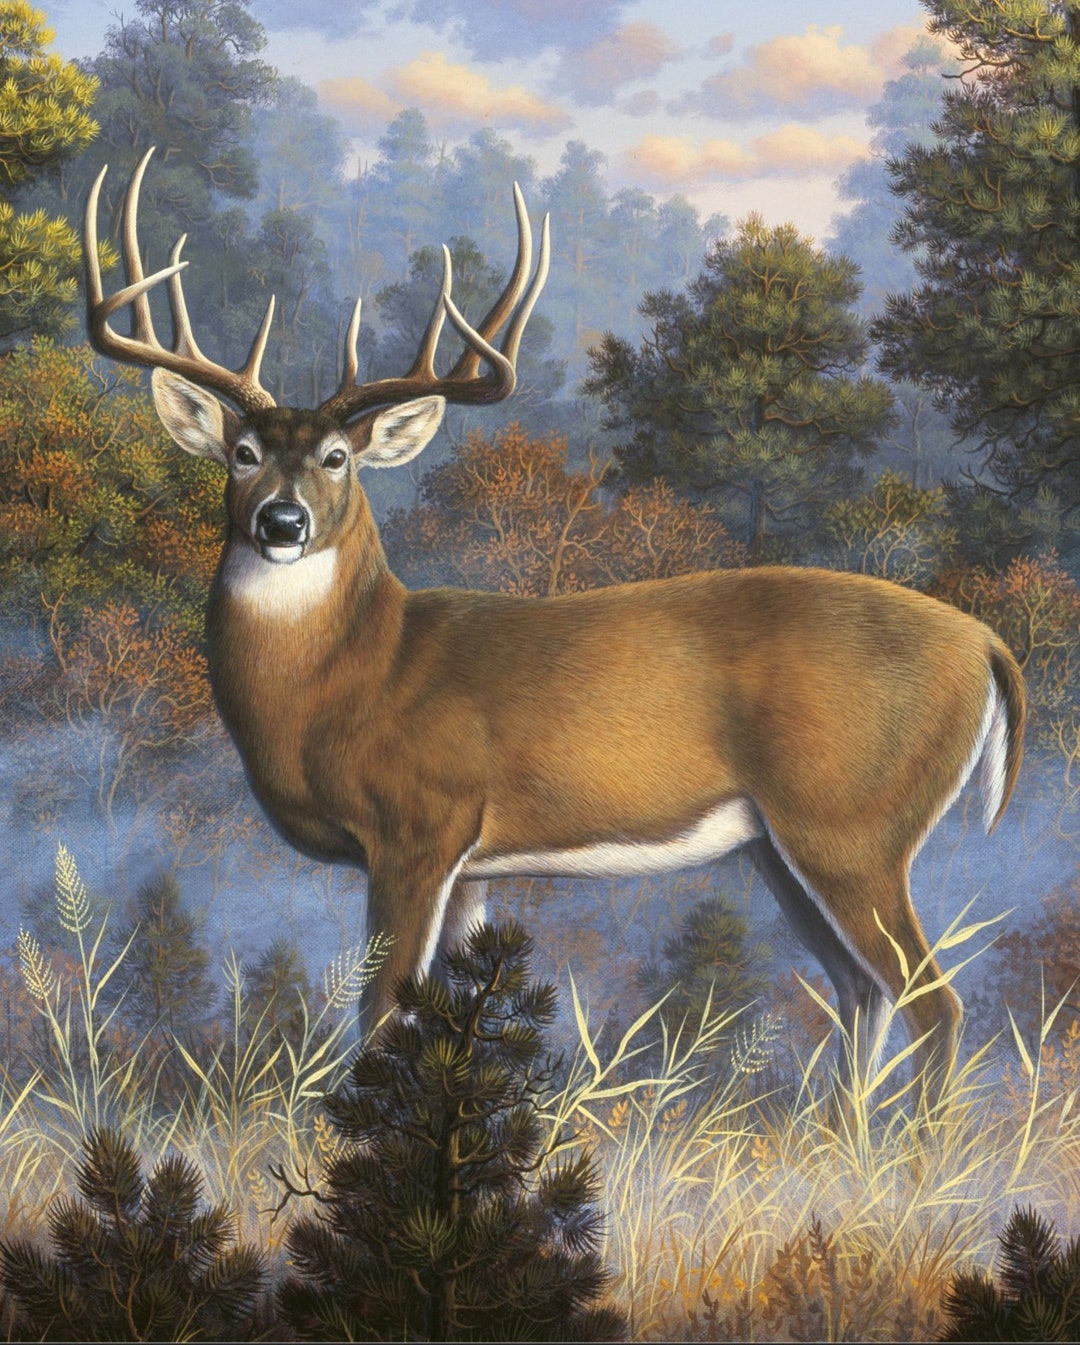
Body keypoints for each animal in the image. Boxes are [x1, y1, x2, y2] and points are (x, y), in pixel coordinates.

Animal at [84, 148, 1025, 1100]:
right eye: (242, 454)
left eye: (337, 458)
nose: (282, 522)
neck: (354, 677)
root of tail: (984, 644)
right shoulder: (470, 864)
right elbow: (451, 1015)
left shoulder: (421, 824)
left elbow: (381, 1014)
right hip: (782, 844)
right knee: (862, 993)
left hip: (853, 820)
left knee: (932, 1002)